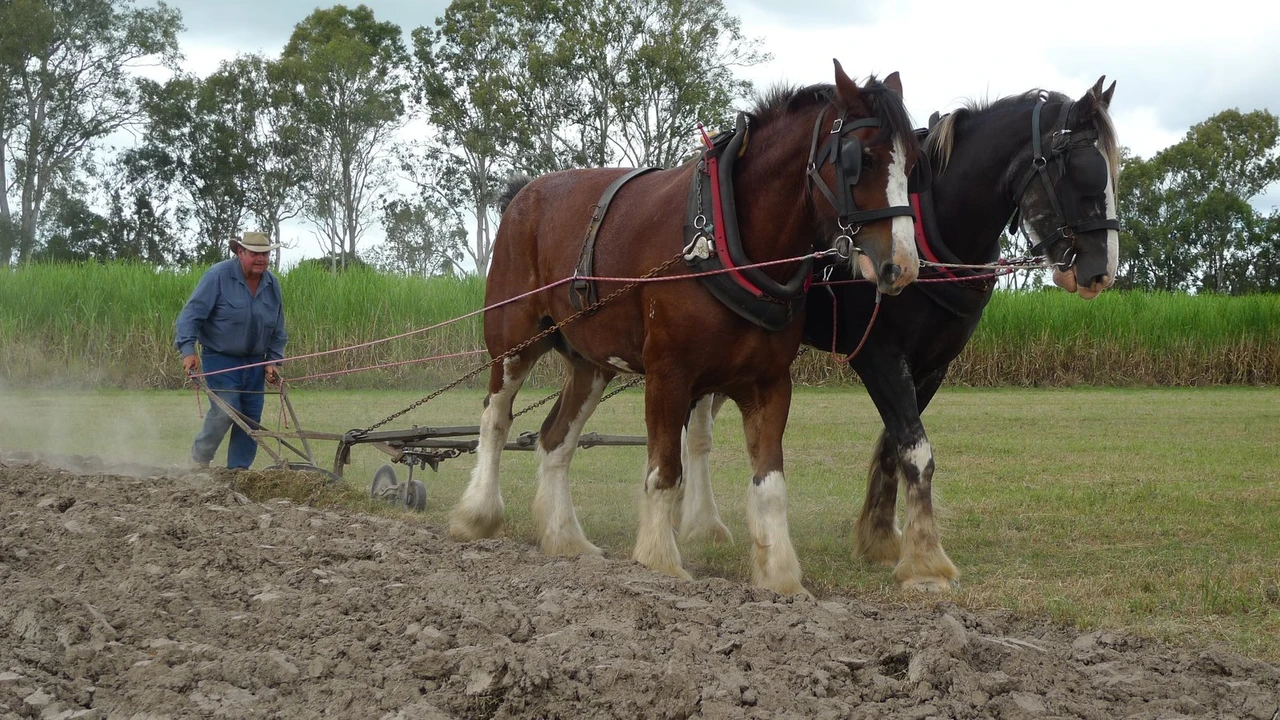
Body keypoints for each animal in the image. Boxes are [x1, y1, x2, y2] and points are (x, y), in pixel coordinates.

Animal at [447, 60, 921, 595]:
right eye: (861, 158)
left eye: (914, 164)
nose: (903, 266)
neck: (722, 236)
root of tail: (521, 195)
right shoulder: (668, 376)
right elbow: (665, 471)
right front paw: (659, 560)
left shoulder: (769, 384)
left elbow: (770, 484)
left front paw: (780, 575)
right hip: (514, 339)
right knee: (496, 417)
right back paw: (478, 515)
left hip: (591, 364)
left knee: (555, 440)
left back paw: (566, 538)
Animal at [677, 77, 1121, 591]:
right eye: (1085, 172)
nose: (1101, 272)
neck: (932, 230)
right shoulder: (878, 355)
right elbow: (916, 448)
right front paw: (925, 561)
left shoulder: (932, 365)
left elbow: (897, 446)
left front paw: (881, 538)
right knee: (697, 432)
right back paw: (701, 523)